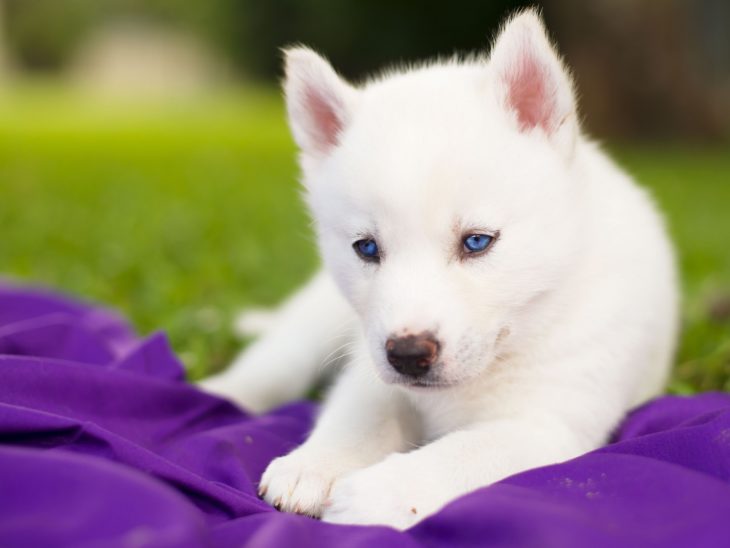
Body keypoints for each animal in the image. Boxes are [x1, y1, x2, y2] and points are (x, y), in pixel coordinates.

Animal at [200, 9, 676, 532]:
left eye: (477, 241)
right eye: (367, 248)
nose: (407, 355)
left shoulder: (547, 424)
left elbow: (463, 453)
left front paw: (379, 493)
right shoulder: (371, 363)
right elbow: (360, 411)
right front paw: (317, 463)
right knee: (275, 364)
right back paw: (220, 392)